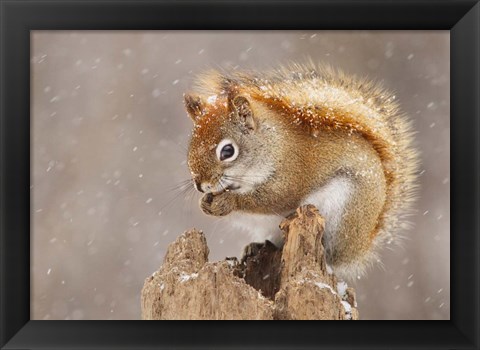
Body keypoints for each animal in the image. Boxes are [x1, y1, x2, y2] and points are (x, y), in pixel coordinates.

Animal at [184, 62, 420, 278]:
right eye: (190, 146)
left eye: (227, 151)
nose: (200, 184)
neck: (273, 144)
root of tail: (361, 247)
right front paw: (205, 203)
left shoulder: (292, 174)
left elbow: (273, 200)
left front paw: (228, 202)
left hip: (344, 214)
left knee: (332, 256)